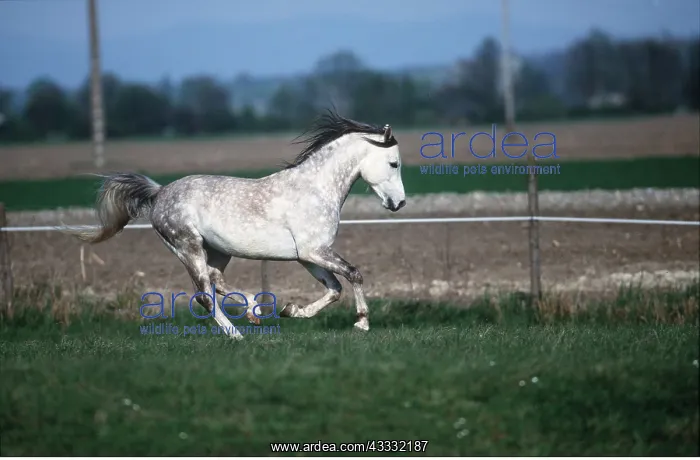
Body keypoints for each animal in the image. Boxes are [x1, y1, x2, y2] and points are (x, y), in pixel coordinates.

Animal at [62, 109, 407, 340]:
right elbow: (354, 273)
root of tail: (159, 193)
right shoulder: (315, 251)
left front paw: (292, 311)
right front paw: (362, 322)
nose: (399, 203)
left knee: (217, 282)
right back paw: (235, 334)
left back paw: (254, 311)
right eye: (394, 163)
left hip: (218, 251)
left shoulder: (308, 255)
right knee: (204, 293)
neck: (315, 188)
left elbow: (334, 289)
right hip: (188, 248)